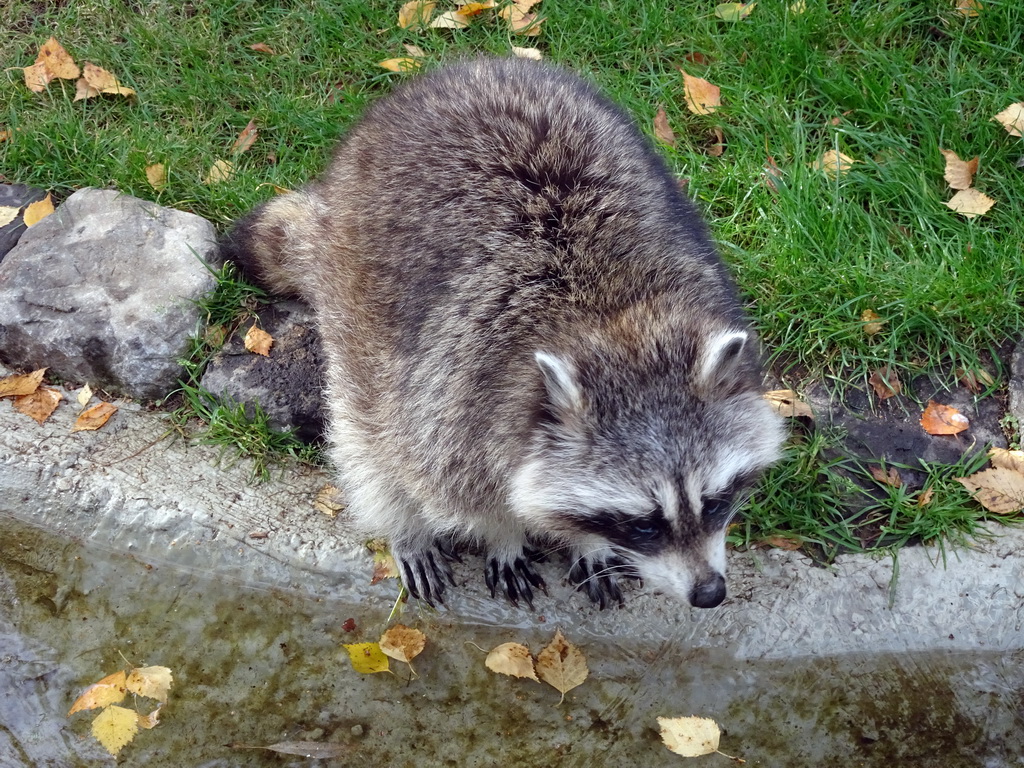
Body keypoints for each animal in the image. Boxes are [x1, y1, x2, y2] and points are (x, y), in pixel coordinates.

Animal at [224, 57, 782, 614]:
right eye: (644, 524)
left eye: (716, 501)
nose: (709, 593)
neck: (609, 322)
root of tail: (465, 68)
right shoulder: (454, 394)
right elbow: (456, 487)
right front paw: (504, 533)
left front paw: (586, 541)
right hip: (354, 284)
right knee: (366, 428)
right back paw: (403, 526)